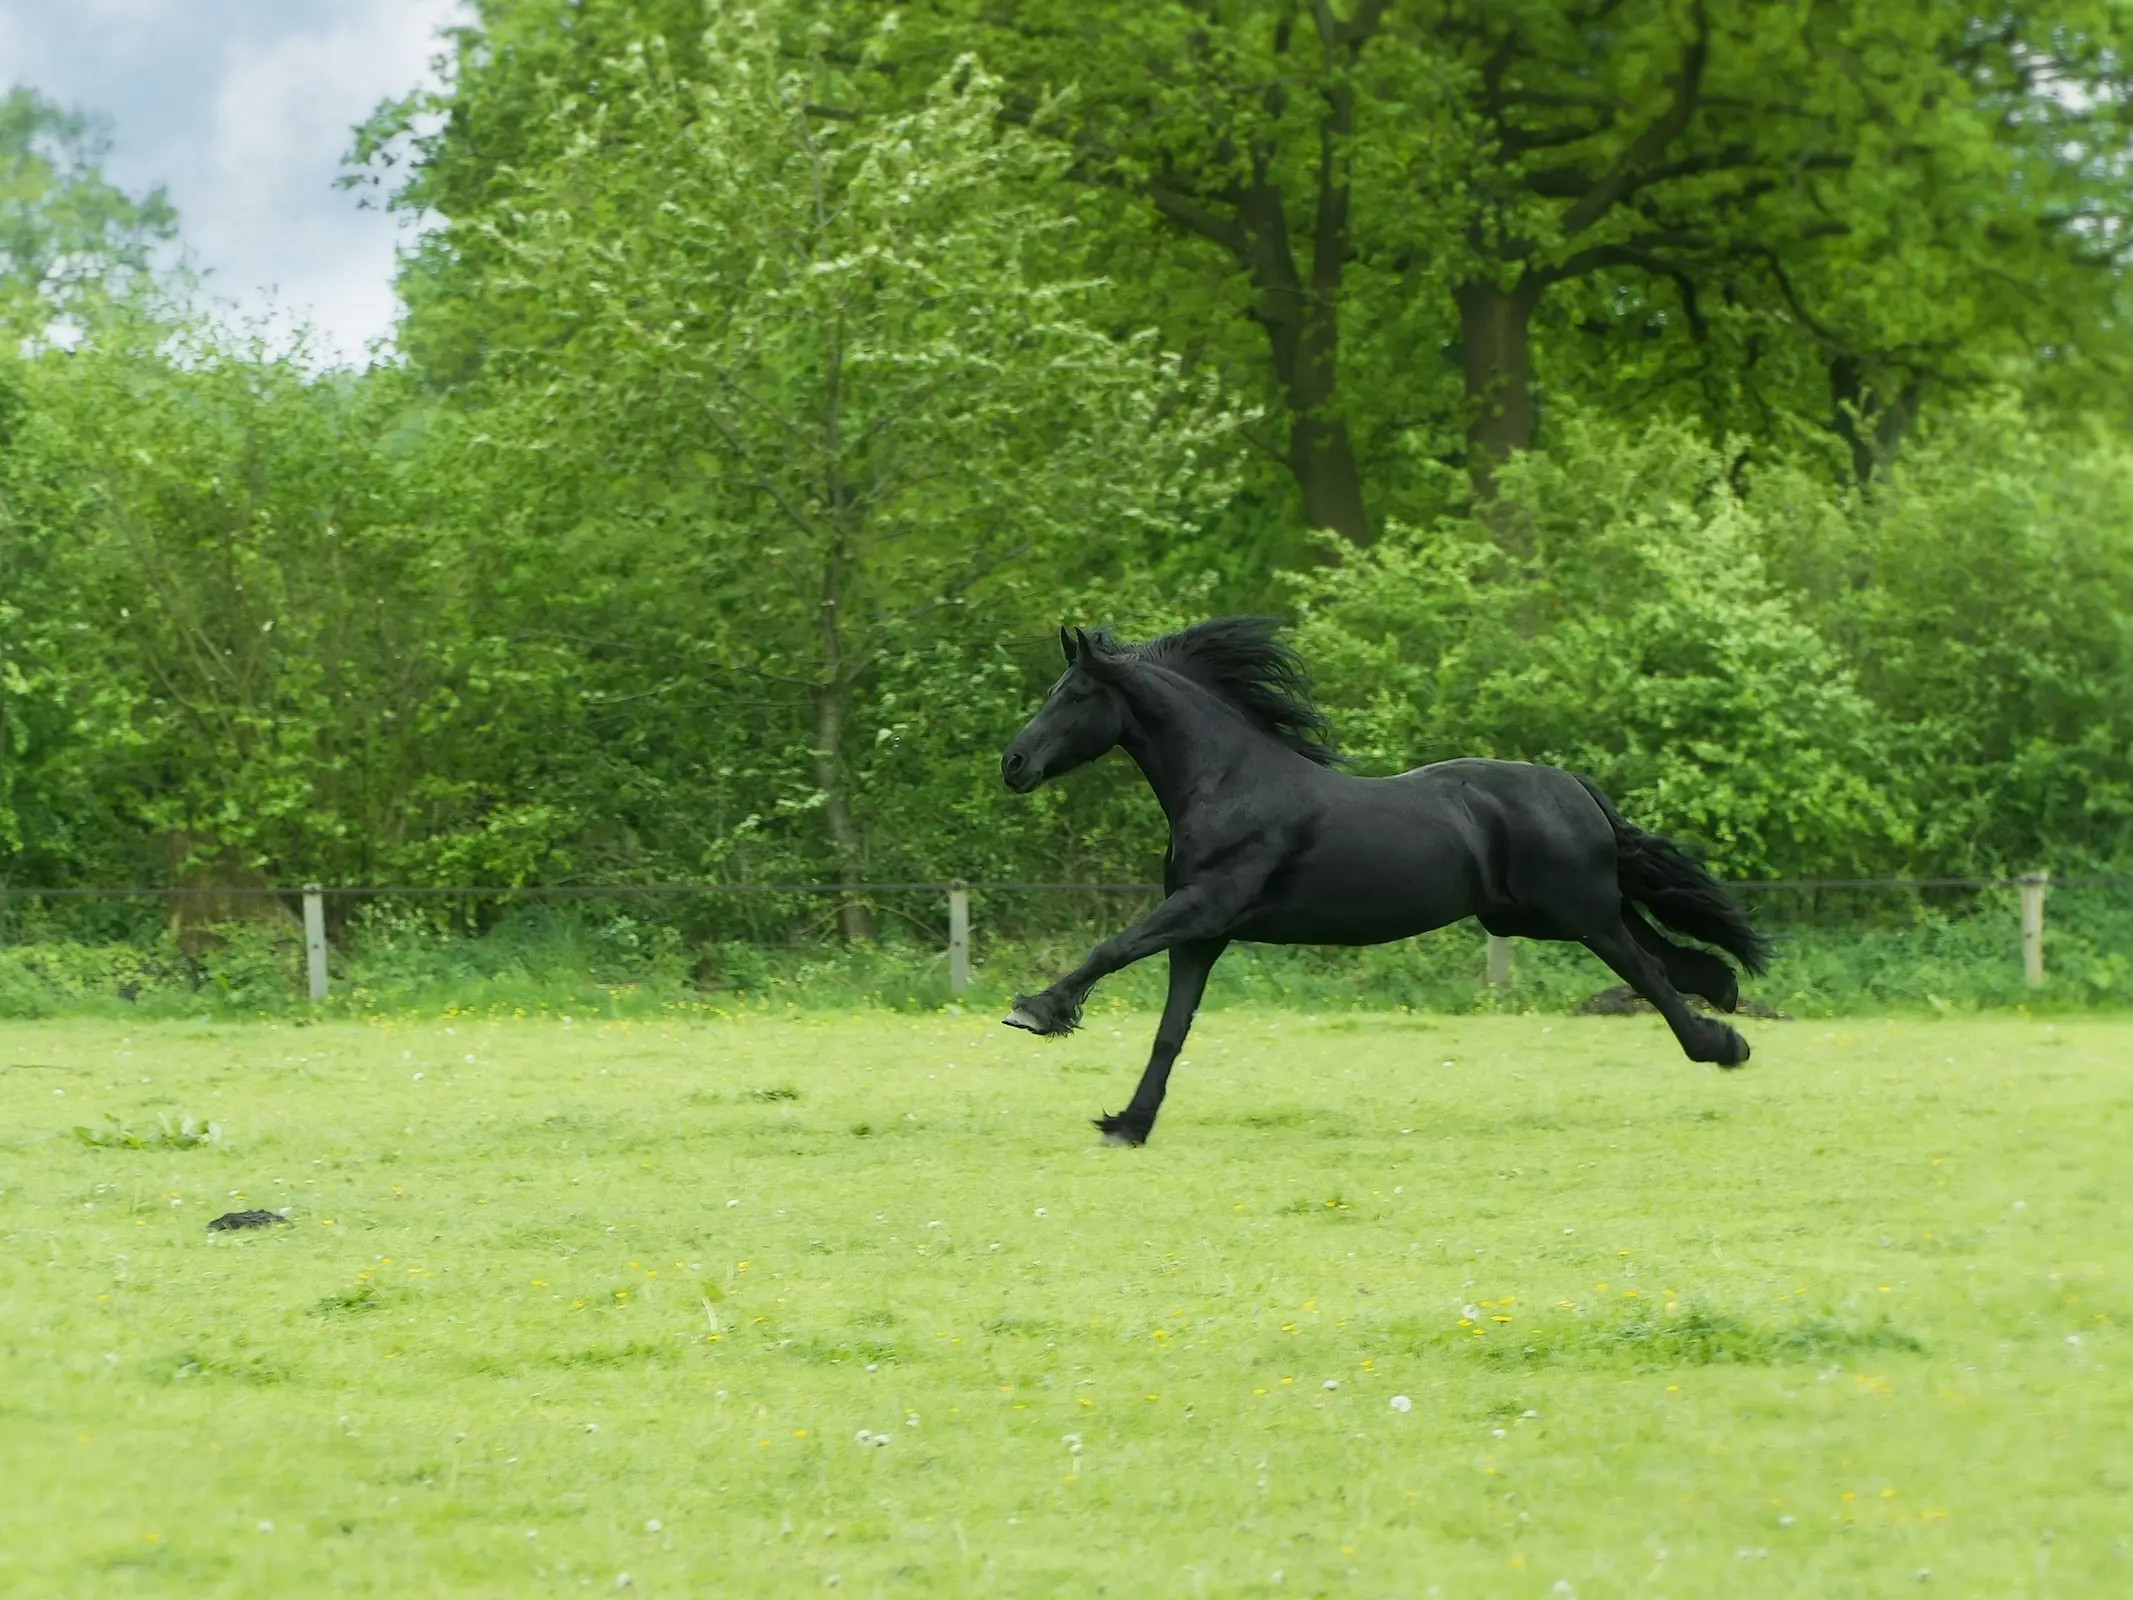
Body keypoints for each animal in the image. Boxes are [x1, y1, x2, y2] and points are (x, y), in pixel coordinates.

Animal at [998, 616, 1771, 1145]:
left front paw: (1036, 1011)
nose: (1013, 763)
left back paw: (1722, 1045)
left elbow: (1112, 948)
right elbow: (1170, 1031)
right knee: (1663, 952)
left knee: (1648, 970)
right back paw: (1723, 991)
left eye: (1074, 695)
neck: (1228, 783)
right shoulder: (1202, 935)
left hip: (1574, 911)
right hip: (1536, 914)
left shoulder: (1203, 907)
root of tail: (1573, 785)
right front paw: (1128, 1122)